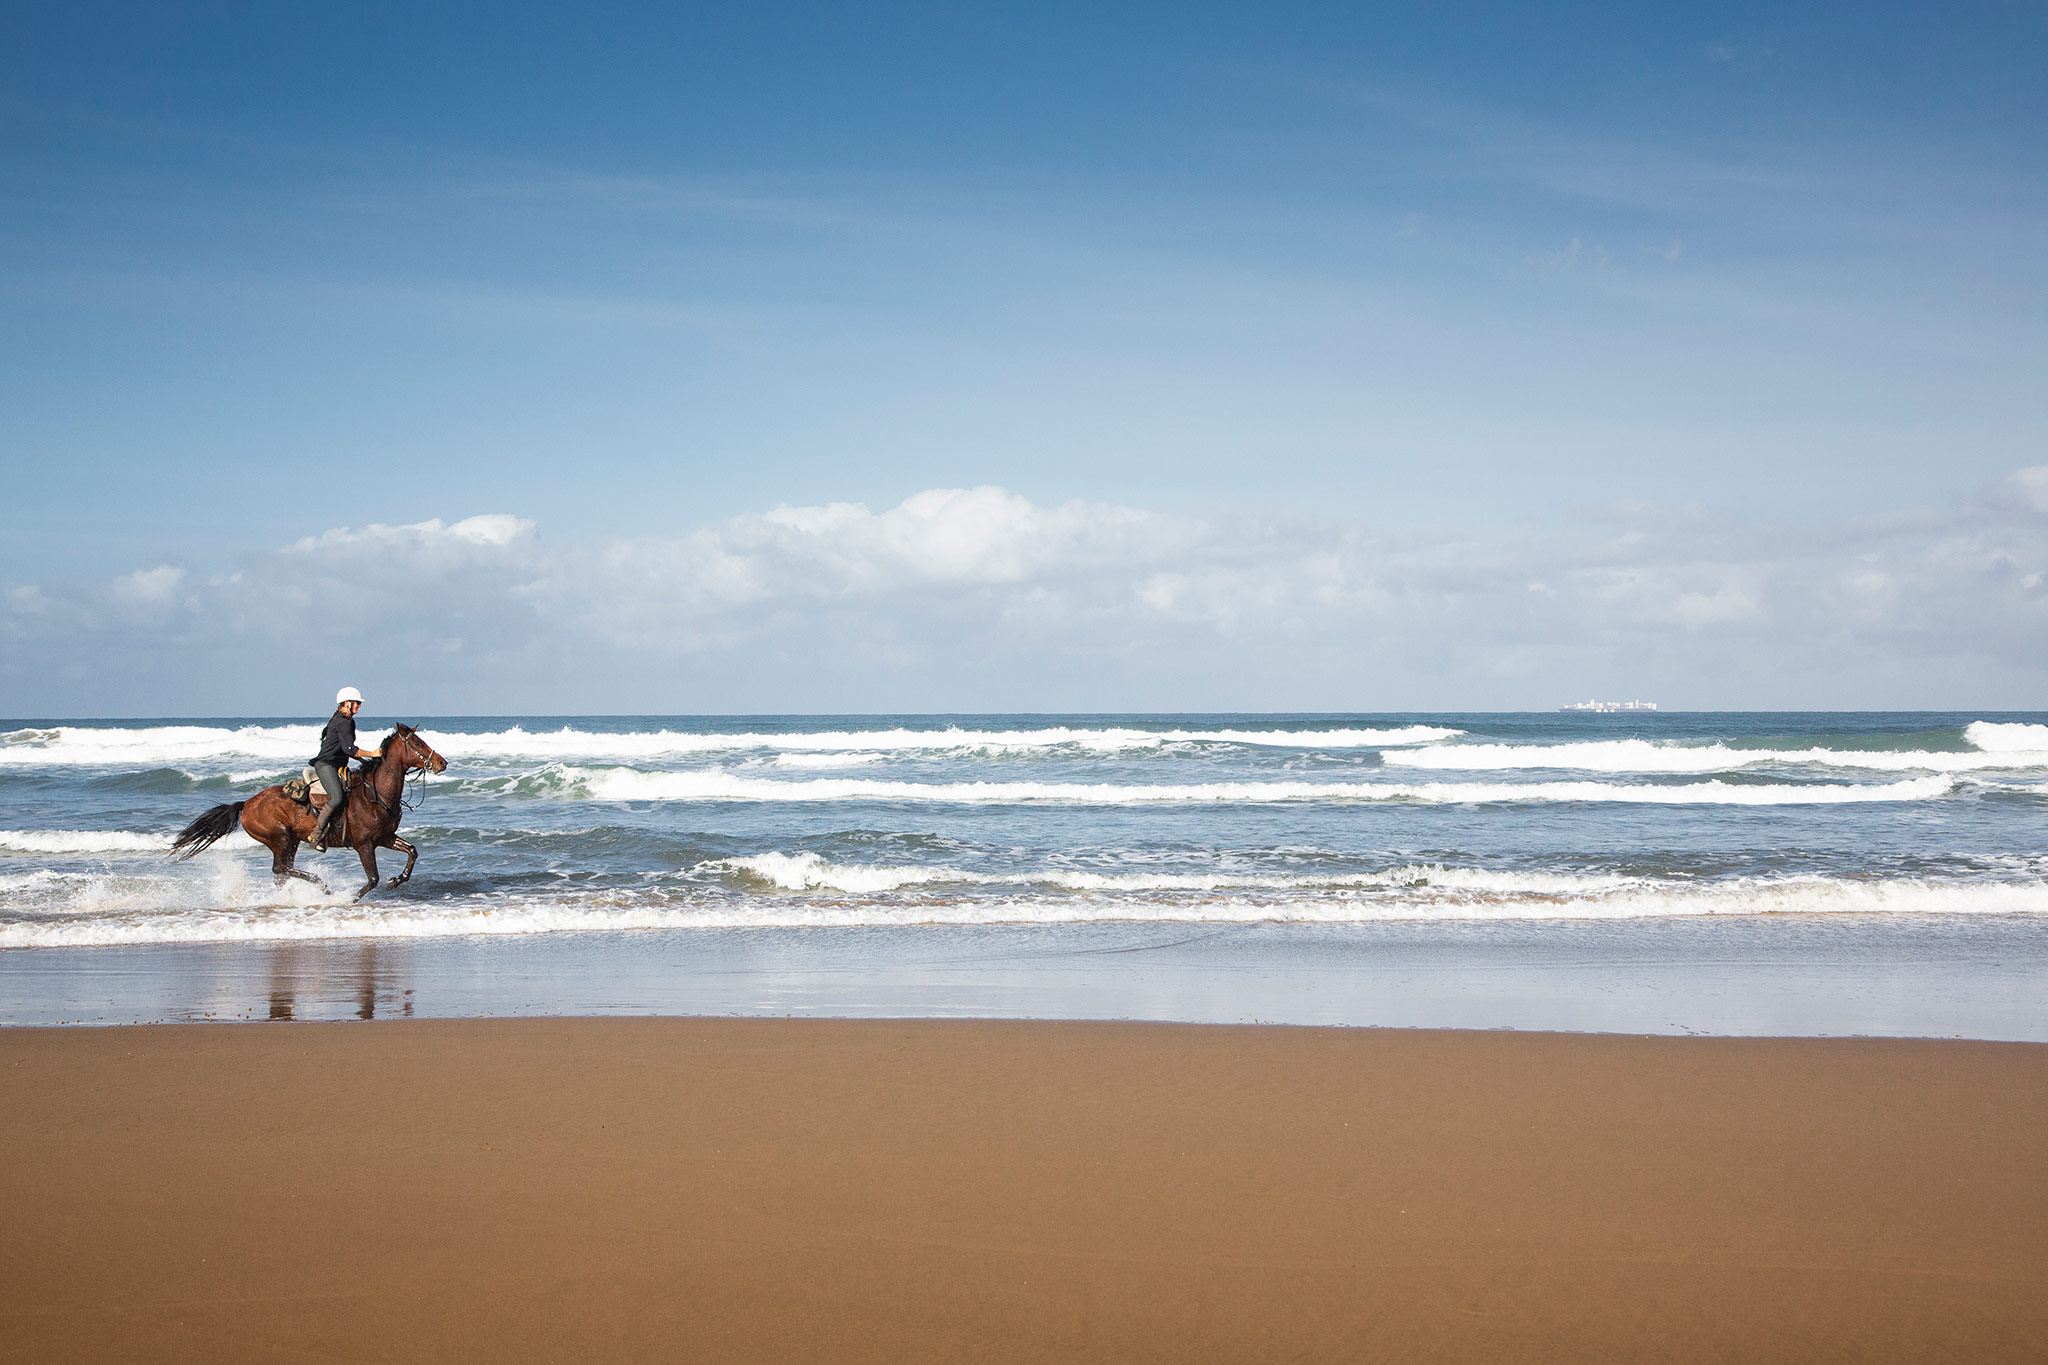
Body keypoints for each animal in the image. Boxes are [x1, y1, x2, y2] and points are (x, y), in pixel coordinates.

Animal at [166, 724, 448, 908]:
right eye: (417, 743)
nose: (441, 762)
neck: (375, 792)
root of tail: (246, 803)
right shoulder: (365, 845)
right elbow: (372, 878)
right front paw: (350, 898)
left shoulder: (386, 837)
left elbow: (412, 852)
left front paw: (396, 881)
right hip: (279, 838)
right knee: (281, 868)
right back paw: (322, 886)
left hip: (289, 842)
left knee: (281, 873)